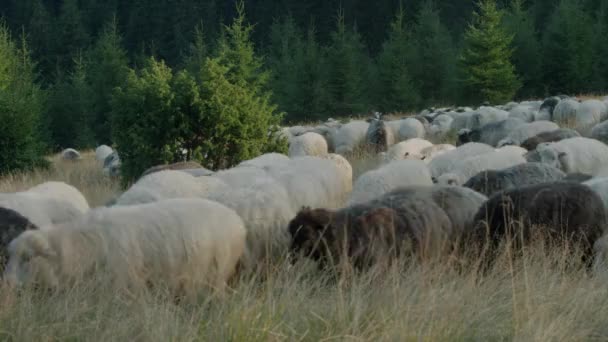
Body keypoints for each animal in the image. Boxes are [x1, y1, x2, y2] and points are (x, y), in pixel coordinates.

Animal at [4, 196, 247, 298]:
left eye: (28, 259)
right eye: (8, 257)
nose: (7, 285)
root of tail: (237, 220)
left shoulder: (123, 284)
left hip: (217, 274)